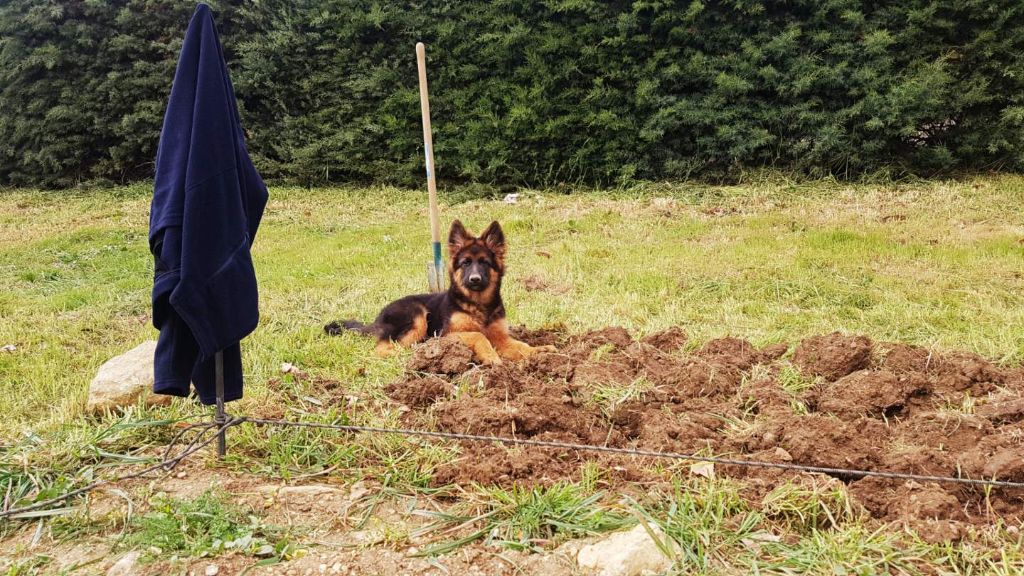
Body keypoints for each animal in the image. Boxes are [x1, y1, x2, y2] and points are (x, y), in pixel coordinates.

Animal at [325, 219, 552, 362]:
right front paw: (491, 357)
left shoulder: (501, 337)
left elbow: (521, 346)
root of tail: (377, 318)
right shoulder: (447, 334)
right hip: (417, 315)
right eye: (465, 263)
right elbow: (478, 336)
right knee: (382, 349)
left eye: (484, 263)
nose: (475, 279)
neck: (478, 304)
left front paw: (541, 351)